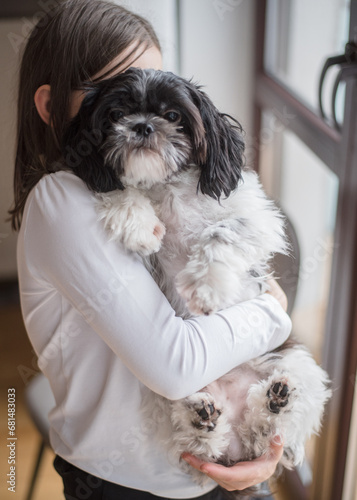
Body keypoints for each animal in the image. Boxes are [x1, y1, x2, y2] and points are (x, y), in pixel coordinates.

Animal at [62, 68, 330, 498]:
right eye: (116, 113)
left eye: (173, 115)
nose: (142, 125)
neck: (164, 187)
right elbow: (119, 189)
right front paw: (140, 224)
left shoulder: (256, 218)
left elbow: (220, 233)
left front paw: (207, 287)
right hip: (169, 397)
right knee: (204, 445)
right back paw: (203, 418)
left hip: (297, 362)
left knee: (268, 435)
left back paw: (276, 406)